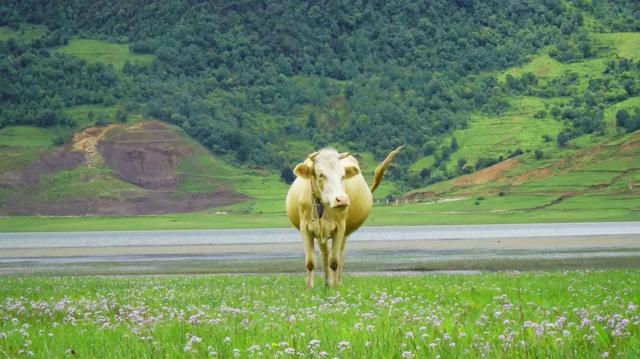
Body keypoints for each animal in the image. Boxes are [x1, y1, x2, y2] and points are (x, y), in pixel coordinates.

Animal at [284, 146, 400, 290]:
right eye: (321, 174)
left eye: (343, 175)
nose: (342, 199)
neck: (322, 204)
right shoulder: (305, 228)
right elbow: (310, 262)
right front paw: (309, 287)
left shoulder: (340, 228)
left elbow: (334, 261)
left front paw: (335, 287)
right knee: (325, 254)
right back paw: (326, 283)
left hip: (345, 233)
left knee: (340, 255)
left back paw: (337, 281)